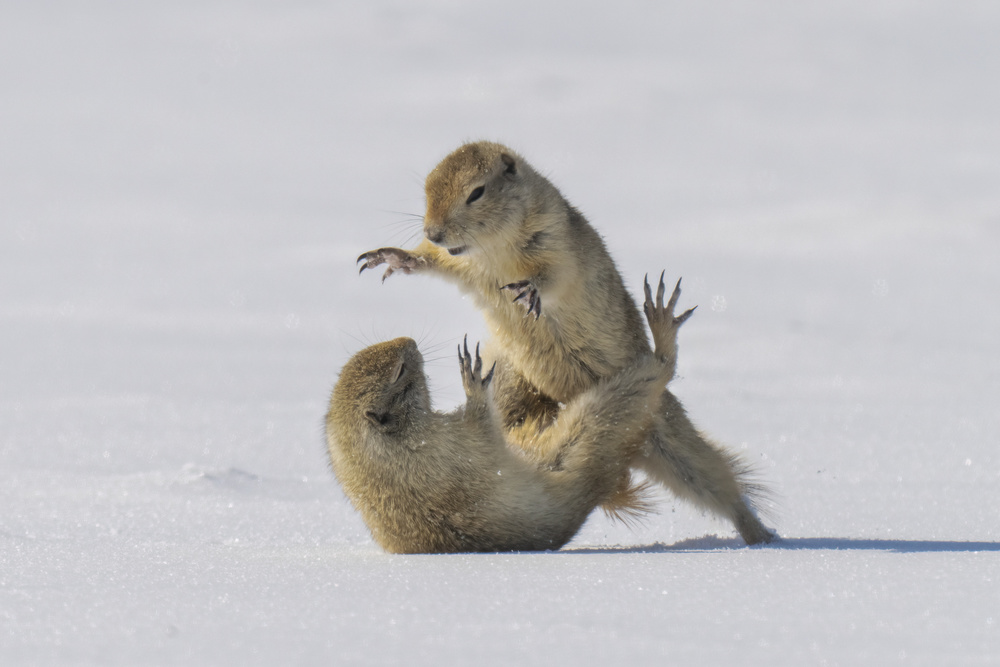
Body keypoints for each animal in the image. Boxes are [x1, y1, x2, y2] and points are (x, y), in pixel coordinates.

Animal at [324, 278, 685, 553]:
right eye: (399, 370)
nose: (410, 341)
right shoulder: (449, 451)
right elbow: (483, 427)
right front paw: (473, 381)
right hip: (598, 422)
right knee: (658, 371)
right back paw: (663, 328)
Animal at [357, 141, 775, 545]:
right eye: (427, 189)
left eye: (476, 192)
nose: (433, 232)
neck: (491, 249)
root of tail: (636, 441)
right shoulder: (459, 262)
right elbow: (432, 260)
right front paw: (389, 257)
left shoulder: (555, 239)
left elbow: (554, 274)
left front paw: (528, 291)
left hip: (671, 436)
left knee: (719, 481)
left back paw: (762, 534)